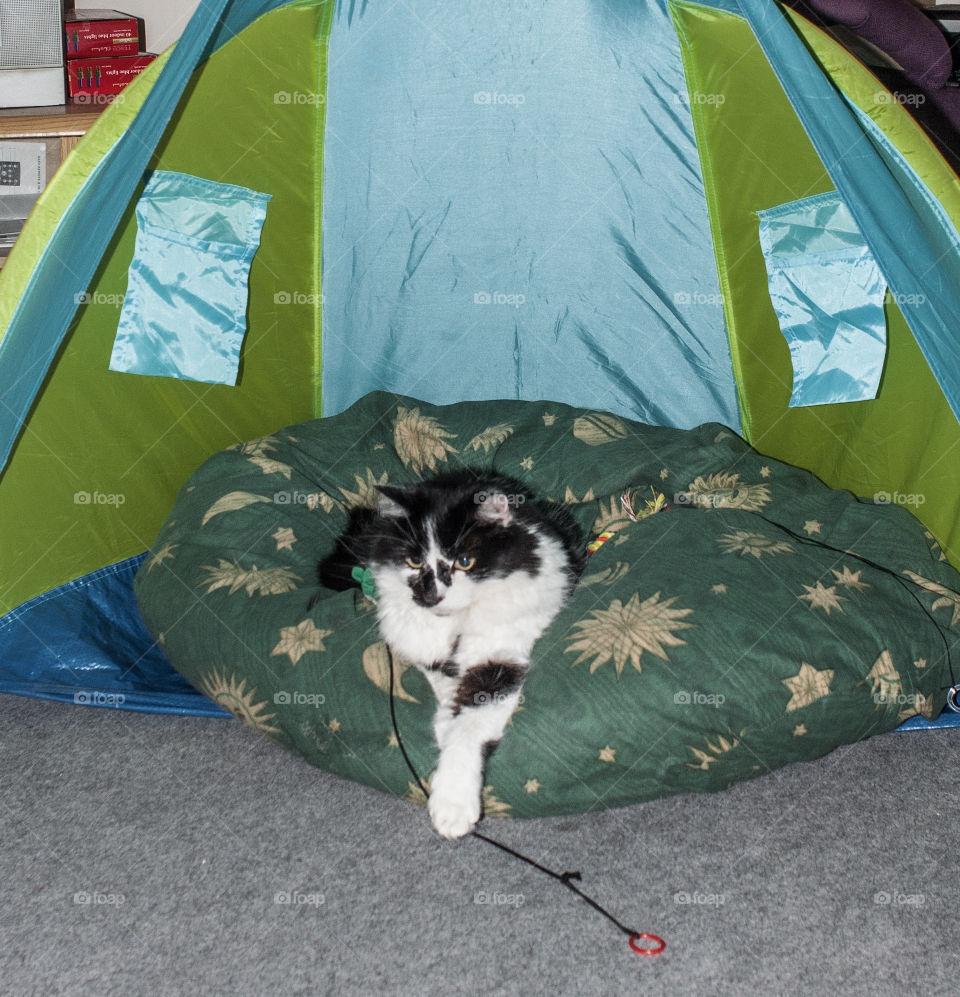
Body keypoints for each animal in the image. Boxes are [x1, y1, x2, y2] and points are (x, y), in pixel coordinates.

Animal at [320, 470, 584, 836]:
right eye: (414, 560)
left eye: (464, 562)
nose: (431, 596)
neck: (457, 622)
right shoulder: (420, 644)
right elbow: (442, 681)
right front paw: (445, 719)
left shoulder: (500, 655)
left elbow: (469, 726)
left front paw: (452, 806)